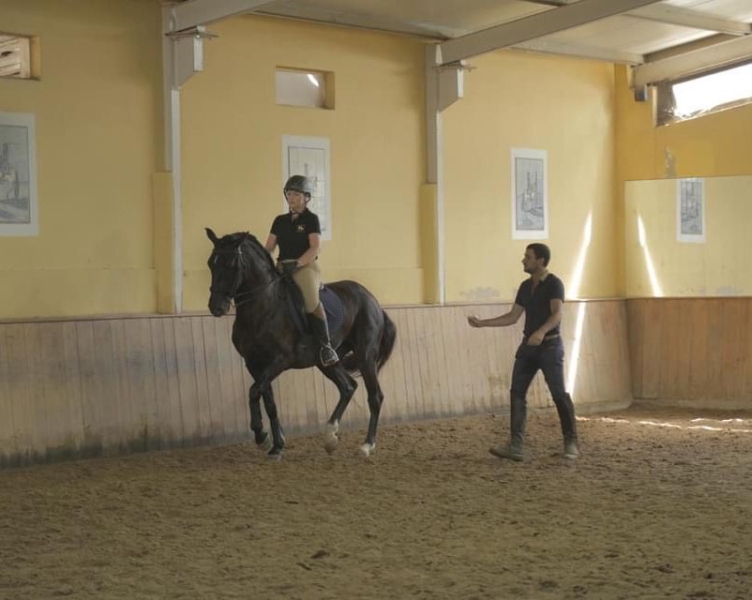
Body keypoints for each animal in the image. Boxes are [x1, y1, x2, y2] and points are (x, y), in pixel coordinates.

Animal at [203, 230, 396, 460]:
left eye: (231, 264)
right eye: (211, 263)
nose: (216, 307)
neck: (262, 306)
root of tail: (373, 300)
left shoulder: (280, 360)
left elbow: (253, 392)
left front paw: (261, 436)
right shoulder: (254, 364)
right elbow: (268, 400)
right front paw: (276, 445)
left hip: (365, 356)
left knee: (375, 396)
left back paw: (366, 445)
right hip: (325, 361)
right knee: (348, 387)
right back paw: (330, 436)